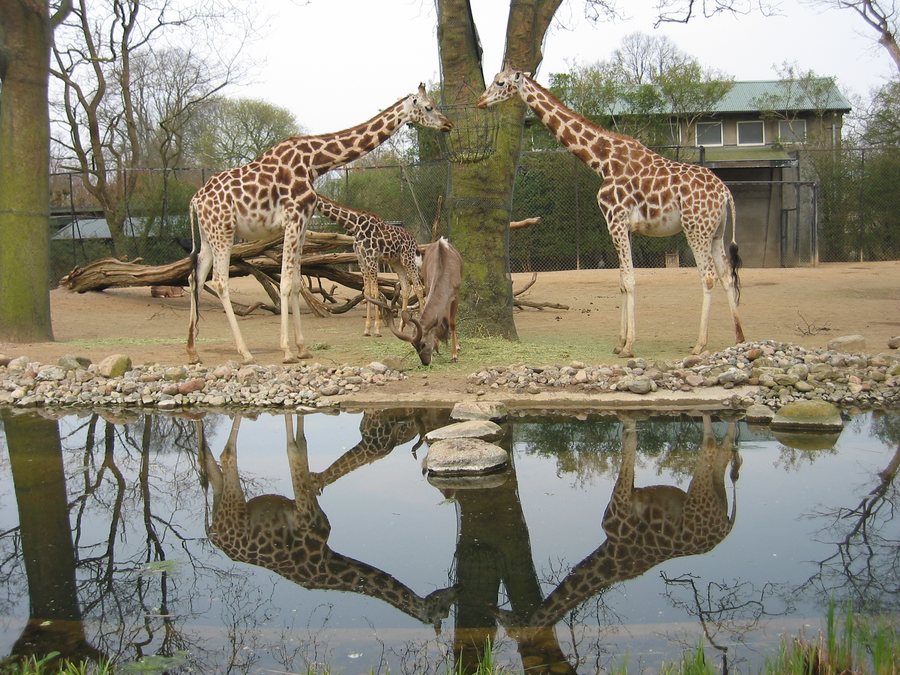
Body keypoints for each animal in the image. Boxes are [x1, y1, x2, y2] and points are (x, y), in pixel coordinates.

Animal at [200, 414, 460, 632]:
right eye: (442, 610)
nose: (455, 588)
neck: (326, 560)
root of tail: (215, 534)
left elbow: (300, 440)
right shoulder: (304, 513)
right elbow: (295, 448)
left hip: (220, 500)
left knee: (213, 466)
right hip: (234, 506)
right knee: (227, 455)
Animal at [314, 195, 428, 338]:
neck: (355, 226)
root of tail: (413, 239)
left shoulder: (372, 259)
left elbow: (375, 292)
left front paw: (377, 330)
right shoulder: (362, 261)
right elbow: (367, 292)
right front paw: (367, 329)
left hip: (407, 258)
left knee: (418, 287)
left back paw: (423, 327)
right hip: (396, 261)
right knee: (406, 287)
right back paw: (401, 328)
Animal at [478, 68, 744, 360]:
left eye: (500, 82)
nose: (480, 101)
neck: (602, 161)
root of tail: (725, 193)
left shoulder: (615, 220)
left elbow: (629, 279)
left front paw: (628, 346)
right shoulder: (624, 227)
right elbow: (621, 281)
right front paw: (620, 342)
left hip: (696, 229)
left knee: (708, 276)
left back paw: (700, 344)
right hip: (716, 232)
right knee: (727, 276)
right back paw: (739, 338)